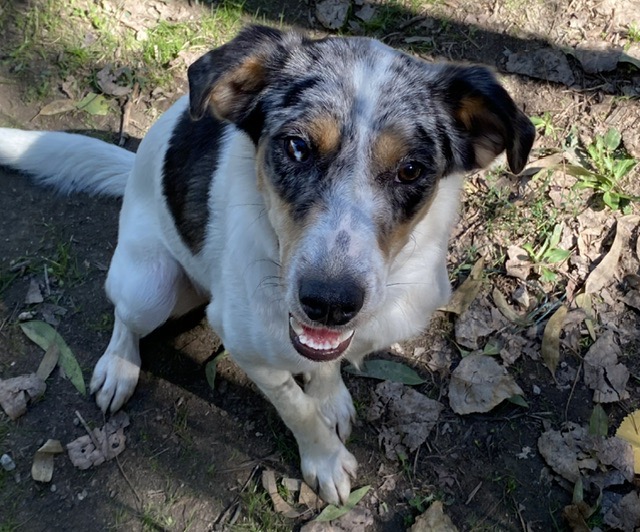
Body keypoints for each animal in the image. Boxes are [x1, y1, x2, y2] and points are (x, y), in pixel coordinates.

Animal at [0, 25, 534, 504]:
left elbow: (323, 370)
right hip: (149, 284)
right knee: (125, 319)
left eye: (411, 169)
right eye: (296, 146)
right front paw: (324, 458)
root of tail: (133, 168)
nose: (330, 303)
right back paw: (119, 366)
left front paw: (330, 397)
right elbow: (295, 408)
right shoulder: (247, 344)